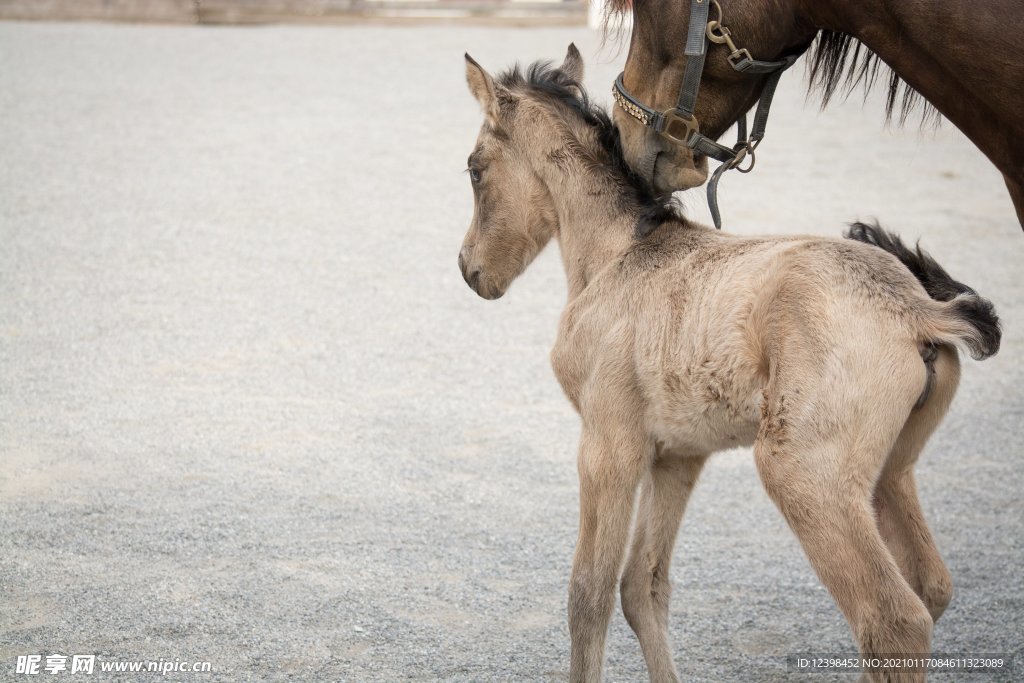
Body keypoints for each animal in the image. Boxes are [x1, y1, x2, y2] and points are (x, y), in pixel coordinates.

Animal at [456, 45, 999, 679]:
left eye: (474, 168)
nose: (469, 270)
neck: (620, 254)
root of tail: (918, 309)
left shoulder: (608, 446)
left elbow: (587, 593)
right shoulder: (677, 456)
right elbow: (642, 587)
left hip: (804, 472)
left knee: (893, 618)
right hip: (892, 470)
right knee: (930, 586)